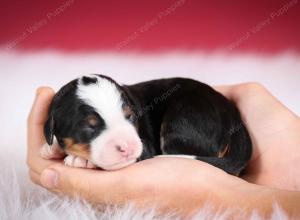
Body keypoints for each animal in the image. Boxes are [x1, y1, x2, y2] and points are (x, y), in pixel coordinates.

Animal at [42, 75, 252, 175]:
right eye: (89, 126)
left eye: (130, 117)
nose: (128, 147)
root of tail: (234, 117)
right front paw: (51, 147)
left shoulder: (145, 146)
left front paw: (81, 160)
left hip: (181, 122)